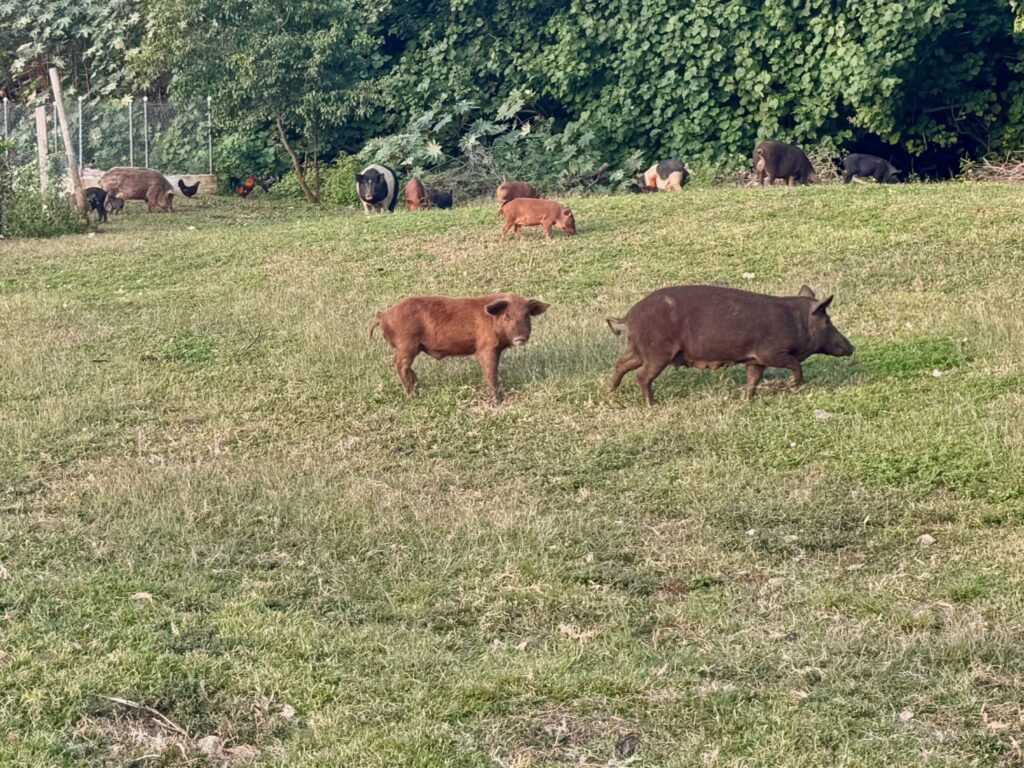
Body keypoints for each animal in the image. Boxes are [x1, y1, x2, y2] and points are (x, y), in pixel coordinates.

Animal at [371, 293, 550, 402]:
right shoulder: (486, 348)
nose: (520, 338)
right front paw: (497, 400)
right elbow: (491, 373)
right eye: (507, 316)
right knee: (400, 365)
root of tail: (383, 315)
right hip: (407, 344)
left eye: (526, 315)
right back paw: (412, 395)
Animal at [607, 284, 854, 405]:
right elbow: (796, 366)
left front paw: (747, 400)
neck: (796, 321)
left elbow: (753, 378)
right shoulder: (770, 352)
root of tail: (628, 316)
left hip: (639, 350)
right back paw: (653, 404)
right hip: (657, 352)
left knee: (620, 363)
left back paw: (611, 391)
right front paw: (784, 386)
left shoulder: (755, 359)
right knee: (641, 376)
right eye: (828, 320)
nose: (852, 347)